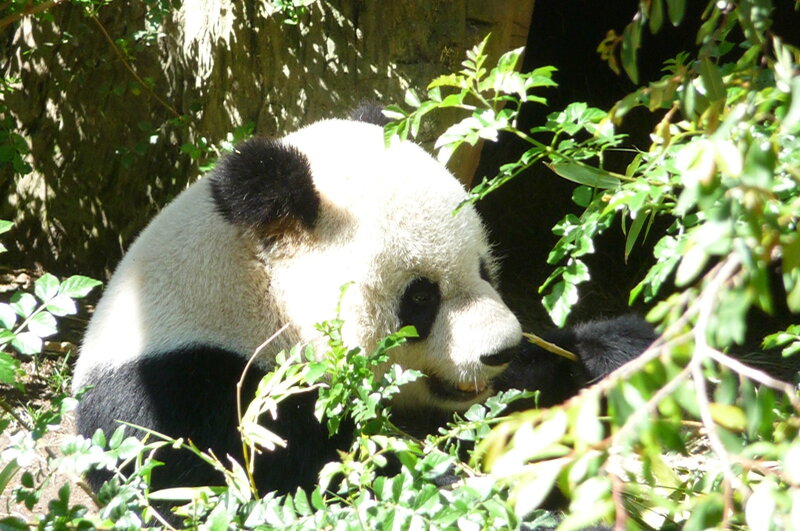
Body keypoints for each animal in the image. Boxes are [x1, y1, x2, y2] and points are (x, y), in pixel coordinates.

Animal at [73, 108, 653, 496]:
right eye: (421, 297)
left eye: (485, 270)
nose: (499, 351)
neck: (254, 294)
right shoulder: (188, 389)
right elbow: (301, 475)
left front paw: (616, 351)